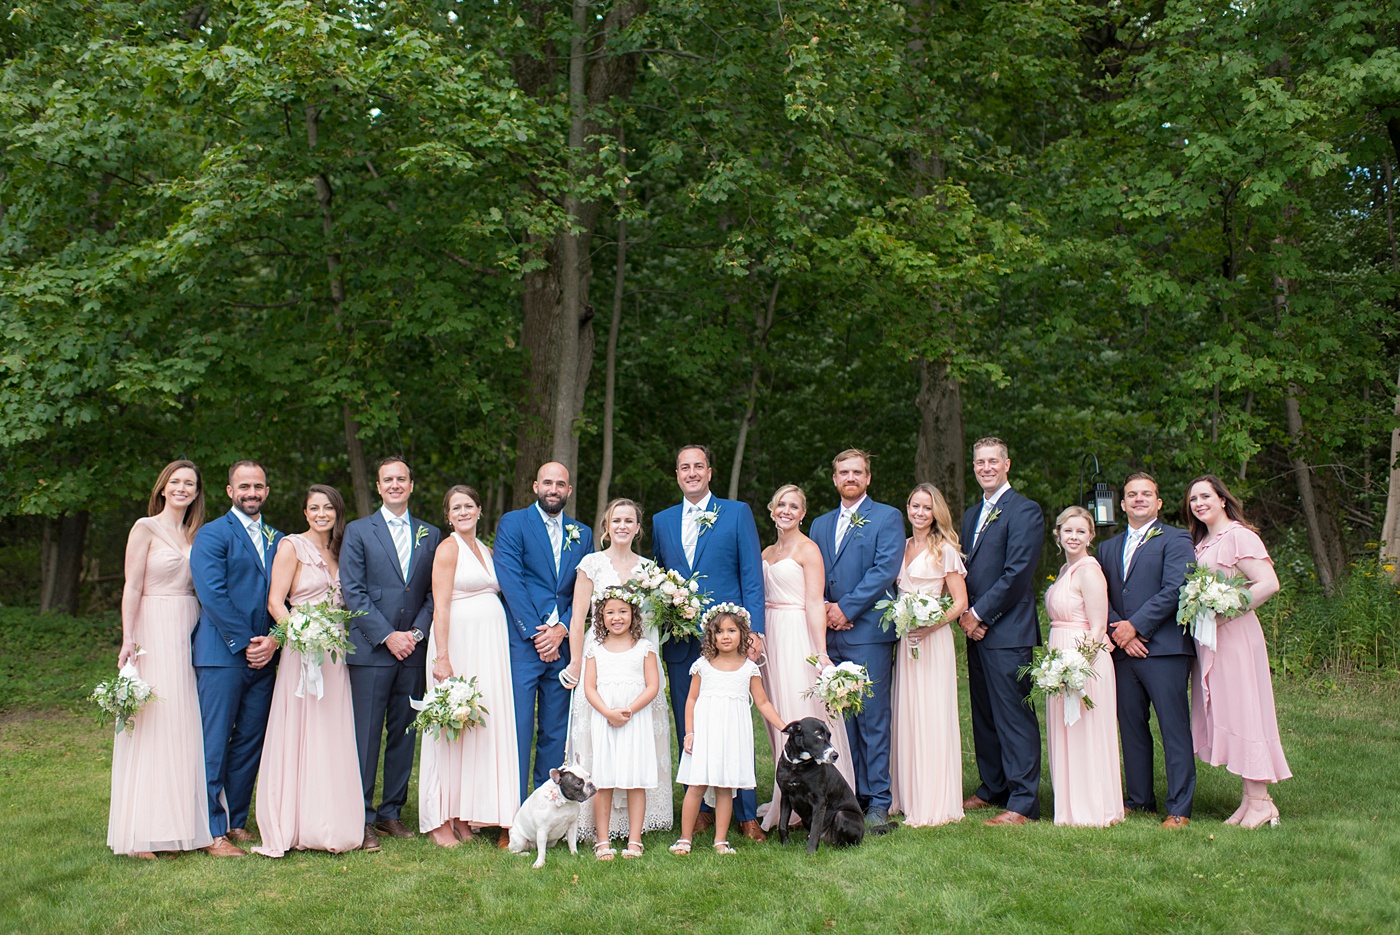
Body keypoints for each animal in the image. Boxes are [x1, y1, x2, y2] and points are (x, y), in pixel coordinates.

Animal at [778, 716, 884, 856]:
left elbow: (815, 829)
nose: (835, 755)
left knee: (850, 842)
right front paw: (785, 845)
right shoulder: (785, 796)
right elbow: (782, 824)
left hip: (842, 815)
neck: (797, 766)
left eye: (829, 736)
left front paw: (810, 853)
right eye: (819, 735)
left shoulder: (819, 801)